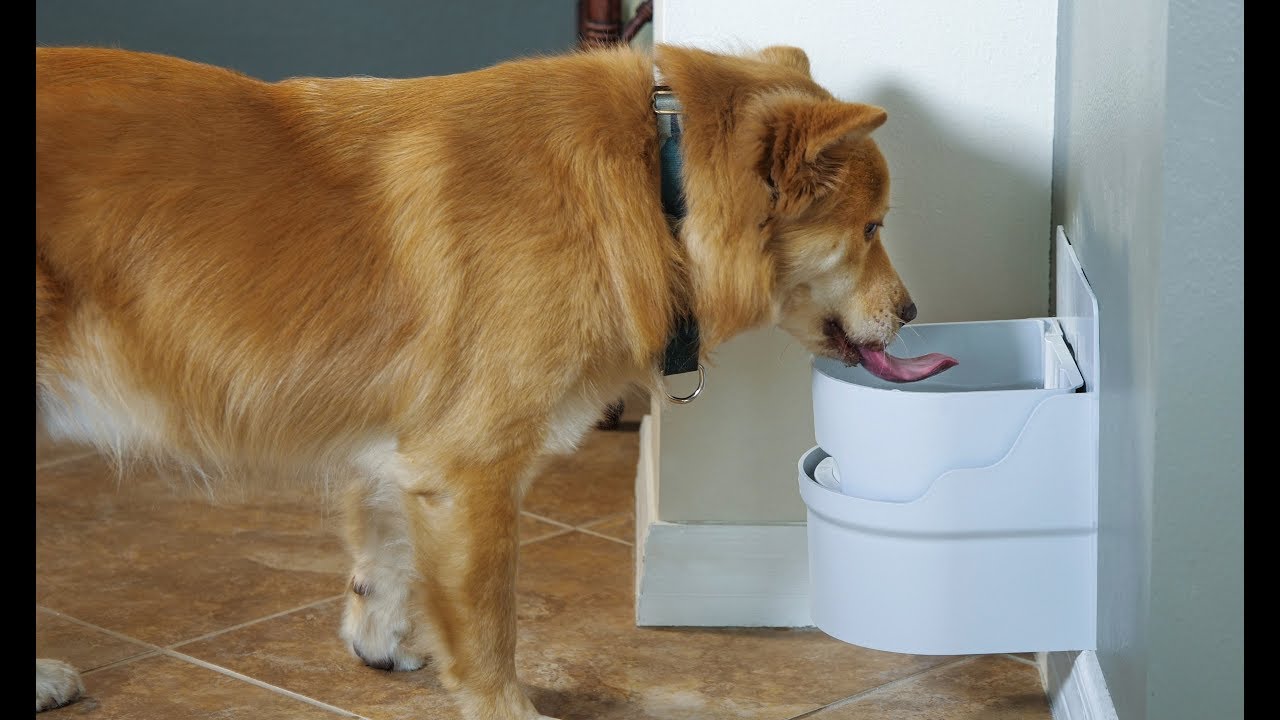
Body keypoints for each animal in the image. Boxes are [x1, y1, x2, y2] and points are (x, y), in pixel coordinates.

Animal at [32, 41, 942, 712]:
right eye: (871, 228)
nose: (911, 311)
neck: (660, 183)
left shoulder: (411, 452)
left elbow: (387, 555)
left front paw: (380, 639)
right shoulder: (471, 471)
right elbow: (487, 628)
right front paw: (501, 704)